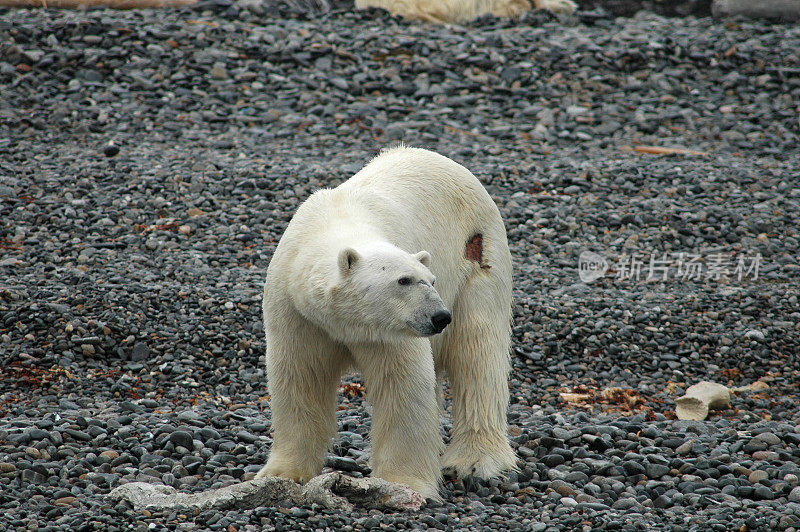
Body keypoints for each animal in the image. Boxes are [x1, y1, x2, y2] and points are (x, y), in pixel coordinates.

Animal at [258, 147, 520, 498]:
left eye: (430, 280)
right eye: (403, 280)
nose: (439, 317)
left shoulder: (389, 330)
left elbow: (402, 385)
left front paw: (401, 483)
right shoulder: (296, 310)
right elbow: (301, 376)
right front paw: (282, 473)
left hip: (477, 257)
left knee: (478, 351)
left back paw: (475, 461)